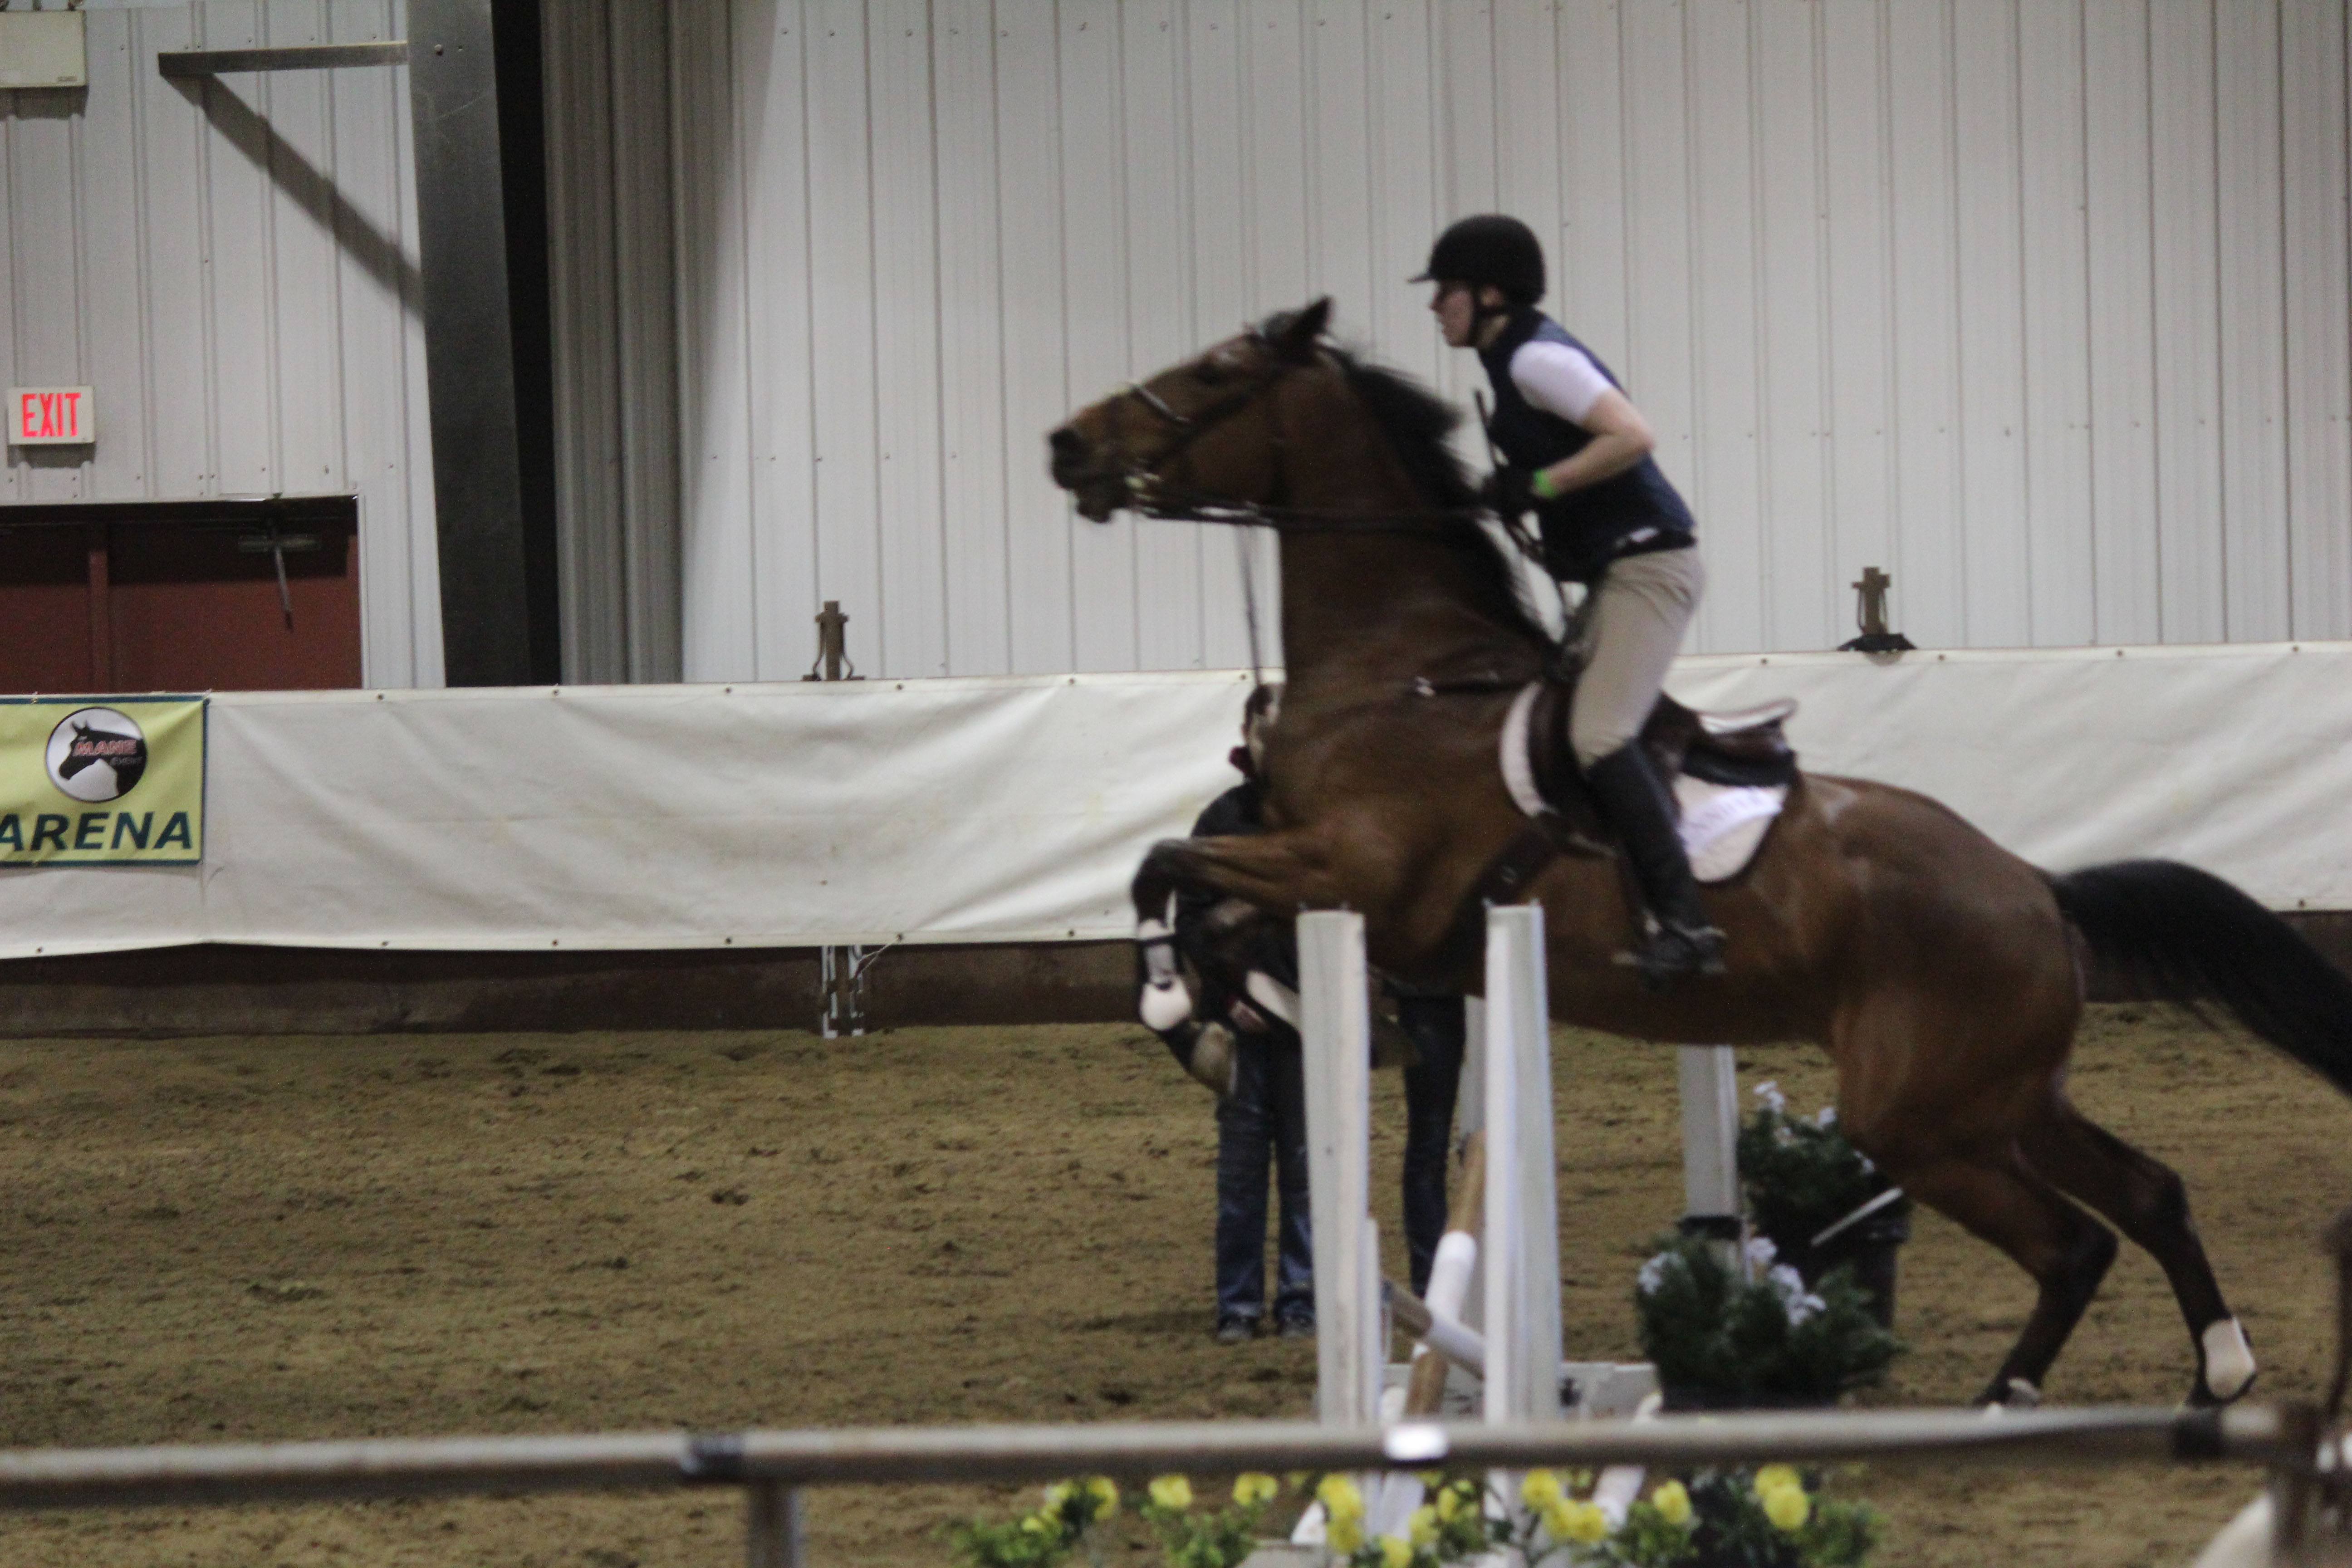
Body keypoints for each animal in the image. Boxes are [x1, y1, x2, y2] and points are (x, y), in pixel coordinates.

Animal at [1049, 294, 2352, 1410]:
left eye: (1214, 373)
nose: (1067, 444)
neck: (1398, 669)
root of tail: (2037, 889)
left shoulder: (1352, 874)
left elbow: (1169, 868)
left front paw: (1186, 1010)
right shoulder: (1328, 880)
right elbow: (1202, 901)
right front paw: (1227, 1019)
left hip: (1926, 1118)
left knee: (2074, 1241)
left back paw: (2008, 1399)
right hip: (2007, 1097)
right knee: (2150, 1193)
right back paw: (2220, 1369)